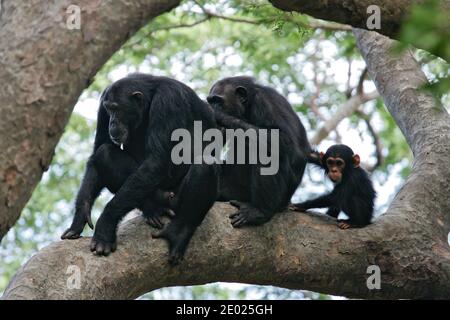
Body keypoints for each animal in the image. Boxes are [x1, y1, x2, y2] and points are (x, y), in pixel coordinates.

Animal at [60, 73, 219, 264]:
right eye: (109, 109)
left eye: (116, 109)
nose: (112, 121)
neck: (149, 98)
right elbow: (99, 148)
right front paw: (80, 216)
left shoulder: (169, 101)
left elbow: (156, 160)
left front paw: (105, 226)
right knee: (106, 153)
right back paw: (153, 208)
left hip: (176, 196)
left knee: (204, 165)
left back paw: (178, 233)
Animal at [207, 76, 310, 226]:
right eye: (211, 101)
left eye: (218, 101)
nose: (211, 107)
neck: (247, 106)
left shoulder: (265, 103)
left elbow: (283, 140)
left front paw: (218, 115)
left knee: (264, 151)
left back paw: (258, 211)